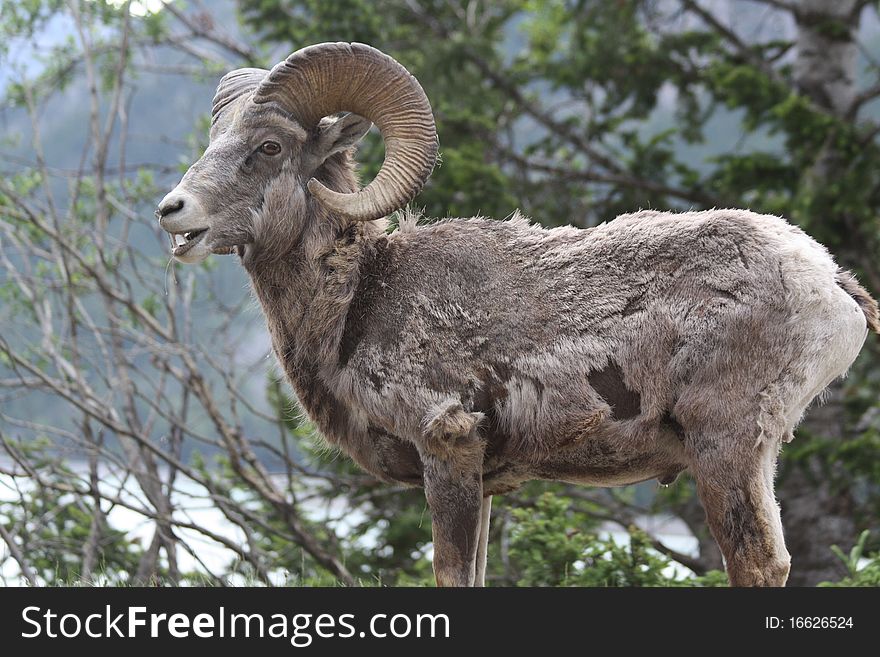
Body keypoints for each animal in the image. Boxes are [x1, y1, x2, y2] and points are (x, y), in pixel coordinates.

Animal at [158, 42, 880, 584]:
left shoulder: (448, 451)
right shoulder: (483, 482)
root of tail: (828, 279)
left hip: (726, 447)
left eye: (270, 147)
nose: (173, 211)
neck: (358, 301)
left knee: (758, 565)